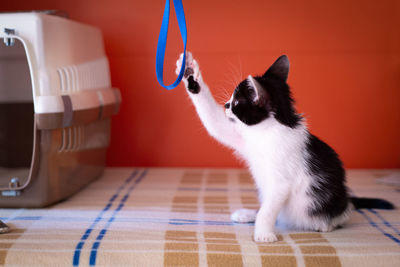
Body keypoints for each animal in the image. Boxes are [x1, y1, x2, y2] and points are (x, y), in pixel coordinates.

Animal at [177, 51, 394, 243]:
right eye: (232, 98)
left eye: (237, 101)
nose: (226, 105)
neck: (265, 132)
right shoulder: (242, 136)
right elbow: (215, 124)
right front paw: (189, 73)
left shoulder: (281, 184)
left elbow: (269, 209)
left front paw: (264, 234)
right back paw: (248, 214)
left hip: (334, 200)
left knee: (343, 211)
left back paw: (326, 224)